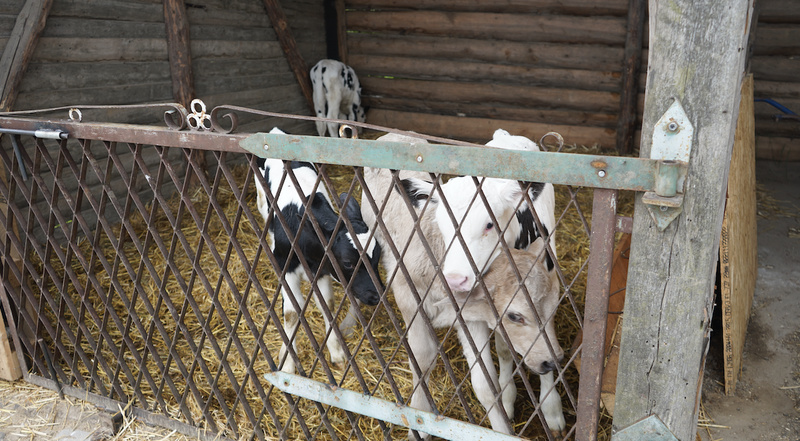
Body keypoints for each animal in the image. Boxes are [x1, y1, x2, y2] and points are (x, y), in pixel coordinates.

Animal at [255, 128, 382, 372]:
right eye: (348, 262)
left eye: (378, 258)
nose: (377, 295)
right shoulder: (287, 269)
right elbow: (291, 314)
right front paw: (288, 365)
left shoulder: (322, 270)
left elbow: (327, 306)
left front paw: (337, 353)